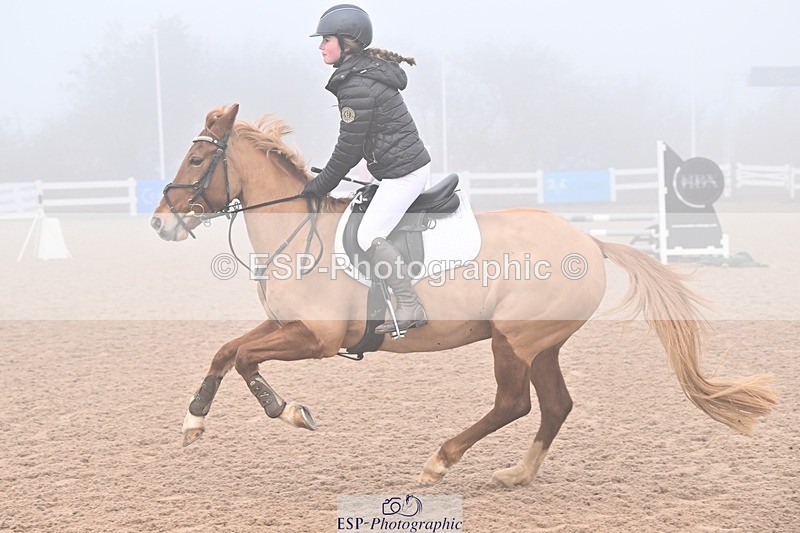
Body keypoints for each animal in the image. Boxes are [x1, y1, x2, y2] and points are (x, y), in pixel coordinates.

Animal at [150, 104, 777, 487]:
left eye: (198, 159)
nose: (159, 223)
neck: (297, 231)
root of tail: (590, 241)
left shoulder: (316, 339)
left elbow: (244, 357)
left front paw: (289, 412)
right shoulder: (286, 327)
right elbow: (227, 352)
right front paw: (194, 422)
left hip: (512, 340)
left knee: (514, 404)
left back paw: (439, 462)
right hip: (540, 344)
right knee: (555, 405)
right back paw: (518, 475)